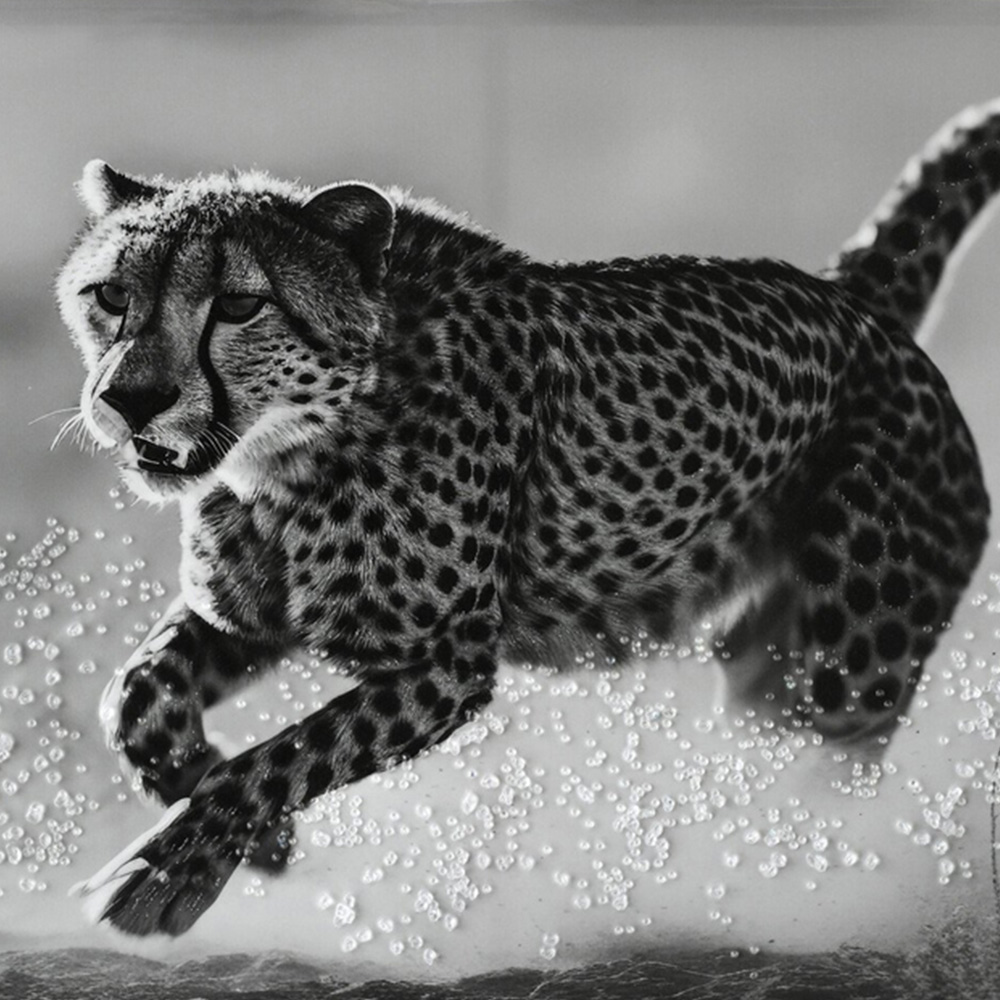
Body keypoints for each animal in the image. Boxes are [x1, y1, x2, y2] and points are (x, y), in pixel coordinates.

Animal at [56, 100, 996, 937]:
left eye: (239, 304)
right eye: (110, 296)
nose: (132, 399)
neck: (286, 455)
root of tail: (849, 301)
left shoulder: (448, 662)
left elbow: (275, 760)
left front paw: (169, 871)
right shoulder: (251, 616)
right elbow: (135, 695)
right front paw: (256, 841)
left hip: (850, 672)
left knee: (836, 784)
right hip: (772, 677)